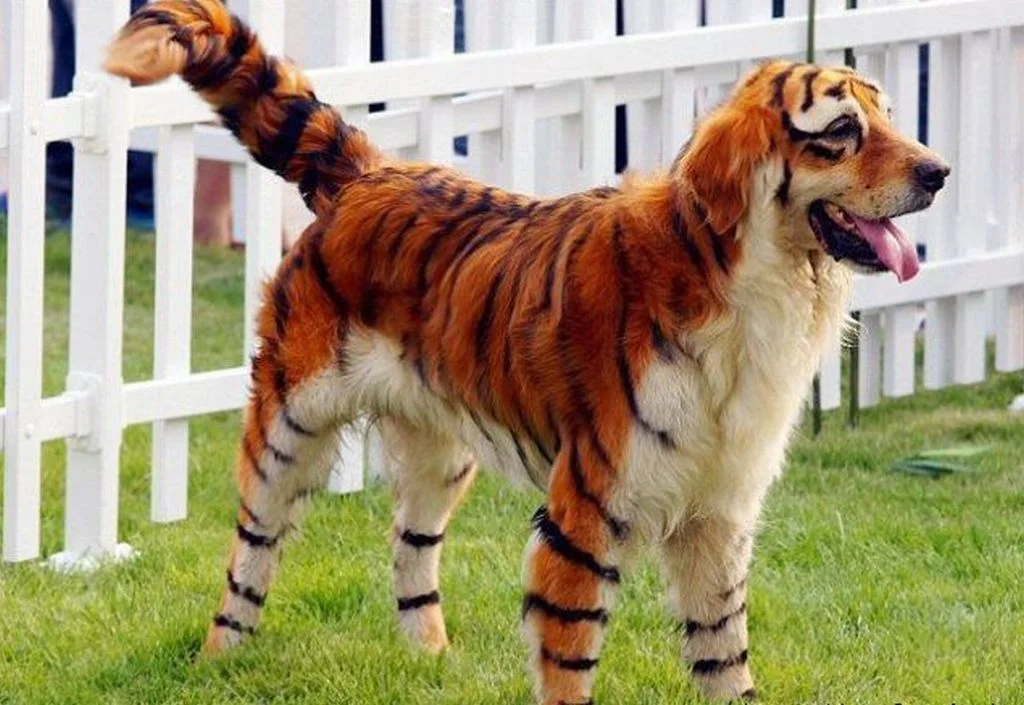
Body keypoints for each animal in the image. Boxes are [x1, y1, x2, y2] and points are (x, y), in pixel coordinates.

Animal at [105, 2, 949, 702]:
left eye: (891, 118)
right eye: (841, 132)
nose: (940, 171)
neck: (760, 289)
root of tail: (370, 171)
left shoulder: (721, 512)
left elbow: (724, 659)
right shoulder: (586, 514)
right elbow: (570, 662)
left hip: (439, 450)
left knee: (410, 547)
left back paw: (430, 659)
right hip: (289, 427)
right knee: (251, 551)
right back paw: (219, 659)